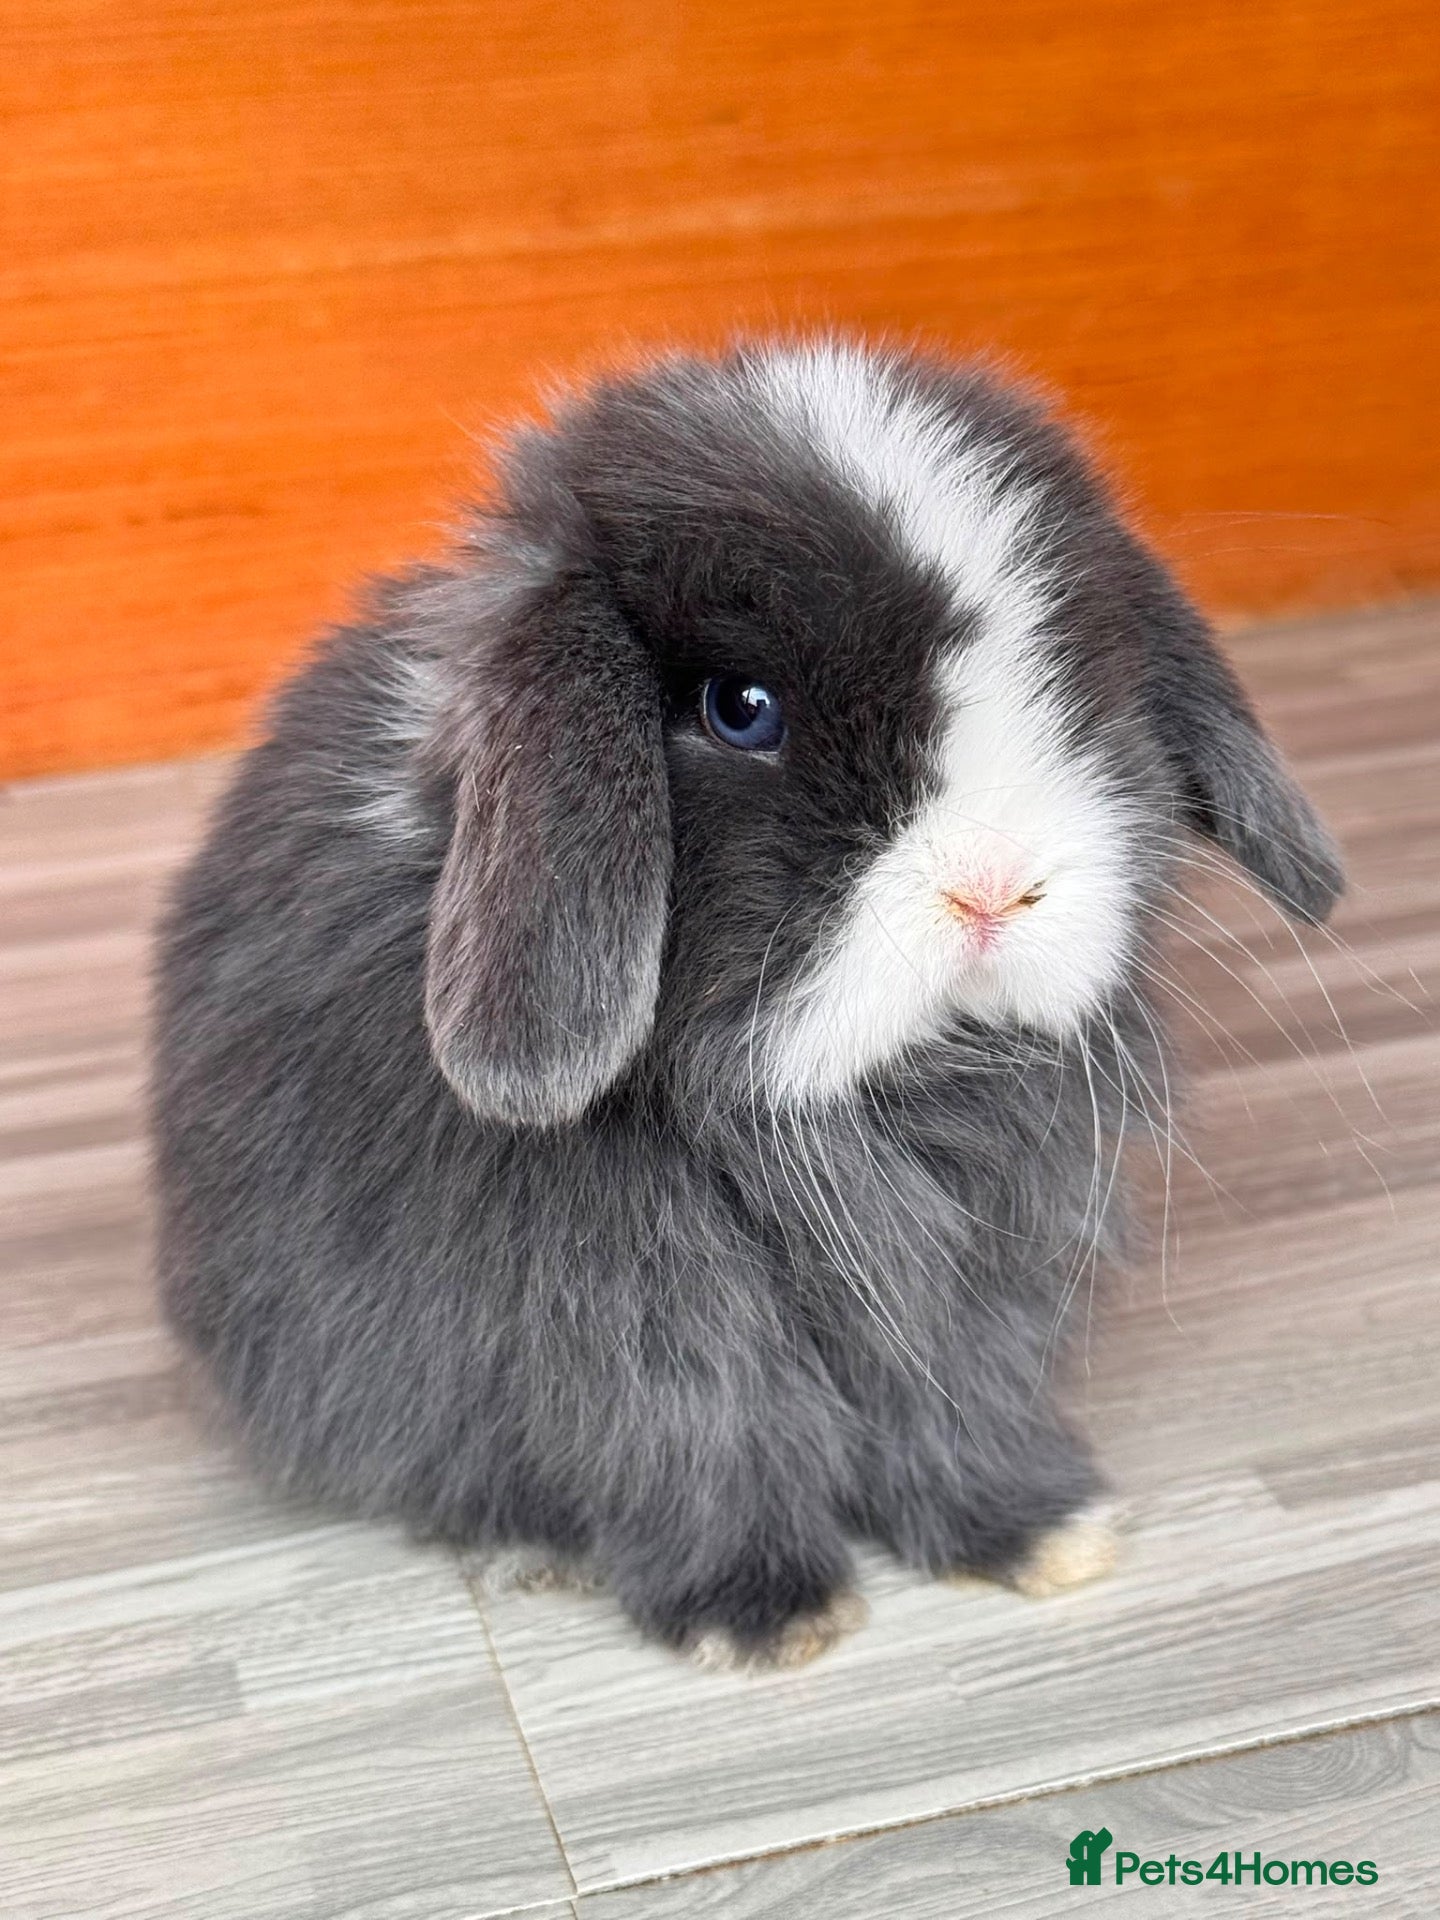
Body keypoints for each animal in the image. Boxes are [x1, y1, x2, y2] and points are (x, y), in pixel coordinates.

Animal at [151, 338, 1343, 1669]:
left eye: (1069, 682)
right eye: (741, 708)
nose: (995, 886)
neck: (862, 1105)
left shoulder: (971, 1281)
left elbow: (961, 1399)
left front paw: (1038, 1536)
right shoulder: (643, 1324)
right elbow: (699, 1441)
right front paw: (768, 1616)